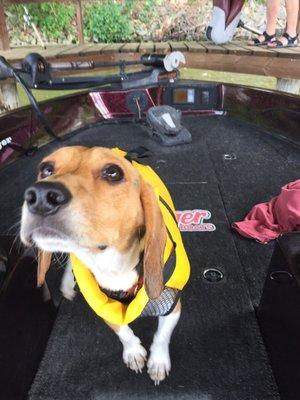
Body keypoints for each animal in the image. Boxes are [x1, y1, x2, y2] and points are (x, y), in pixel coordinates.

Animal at [19, 146, 188, 384]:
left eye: (113, 172)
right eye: (46, 169)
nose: (41, 196)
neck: (112, 267)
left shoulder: (171, 304)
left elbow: (162, 336)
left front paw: (158, 362)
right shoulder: (102, 305)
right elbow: (121, 330)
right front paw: (133, 352)